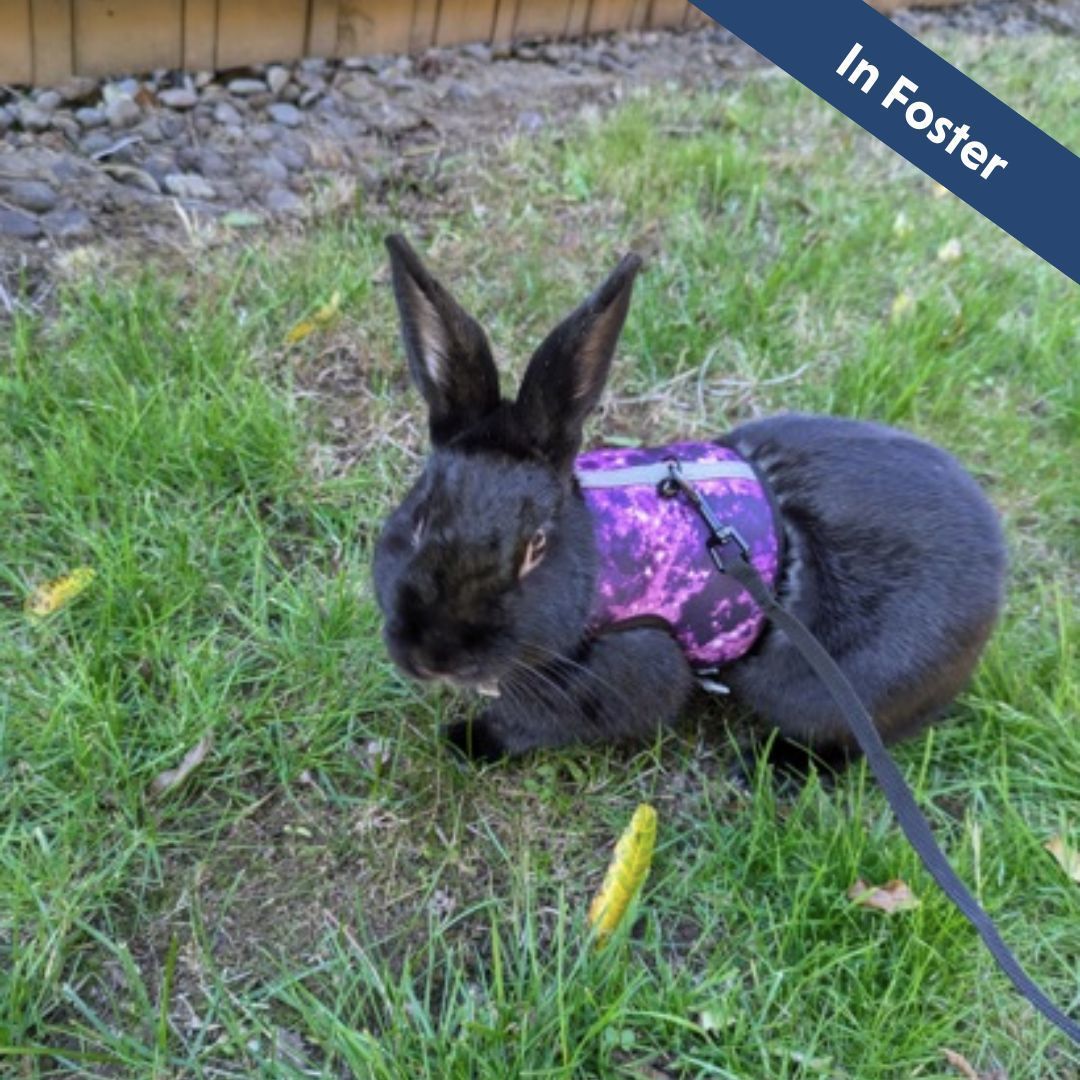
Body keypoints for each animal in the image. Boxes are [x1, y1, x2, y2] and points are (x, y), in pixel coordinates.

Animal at [375, 236, 1006, 768]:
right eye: (420, 518)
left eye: (535, 549)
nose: (433, 655)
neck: (593, 561)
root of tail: (996, 566)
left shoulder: (621, 666)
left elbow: (533, 720)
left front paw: (467, 740)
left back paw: (766, 767)